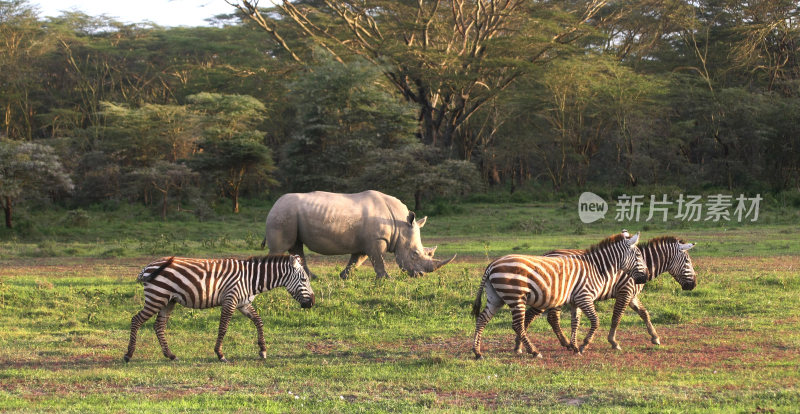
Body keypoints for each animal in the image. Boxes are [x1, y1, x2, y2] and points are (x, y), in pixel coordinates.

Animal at [123, 252, 314, 362]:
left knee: (159, 326)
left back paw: (170, 355)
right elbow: (223, 327)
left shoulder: (244, 303)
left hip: (168, 300)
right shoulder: (230, 299)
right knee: (136, 320)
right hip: (157, 297)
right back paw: (128, 355)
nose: (312, 302)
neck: (251, 279)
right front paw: (220, 354)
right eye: (304, 279)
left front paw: (262, 350)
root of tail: (148, 266)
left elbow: (259, 321)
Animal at [472, 230, 648, 360]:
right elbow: (595, 321)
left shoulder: (577, 300)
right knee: (517, 325)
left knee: (482, 319)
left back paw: (477, 352)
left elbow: (575, 322)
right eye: (639, 256)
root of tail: (492, 264)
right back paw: (534, 351)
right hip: (516, 297)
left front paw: (575, 346)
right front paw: (584, 345)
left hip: (496, 298)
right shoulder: (585, 297)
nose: (645, 278)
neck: (597, 268)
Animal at [544, 236, 692, 352]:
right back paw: (566, 343)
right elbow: (617, 317)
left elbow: (644, 313)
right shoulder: (625, 292)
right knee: (553, 317)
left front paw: (655, 337)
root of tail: (547, 255)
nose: (693, 285)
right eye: (687, 262)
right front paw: (613, 342)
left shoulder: (632, 295)